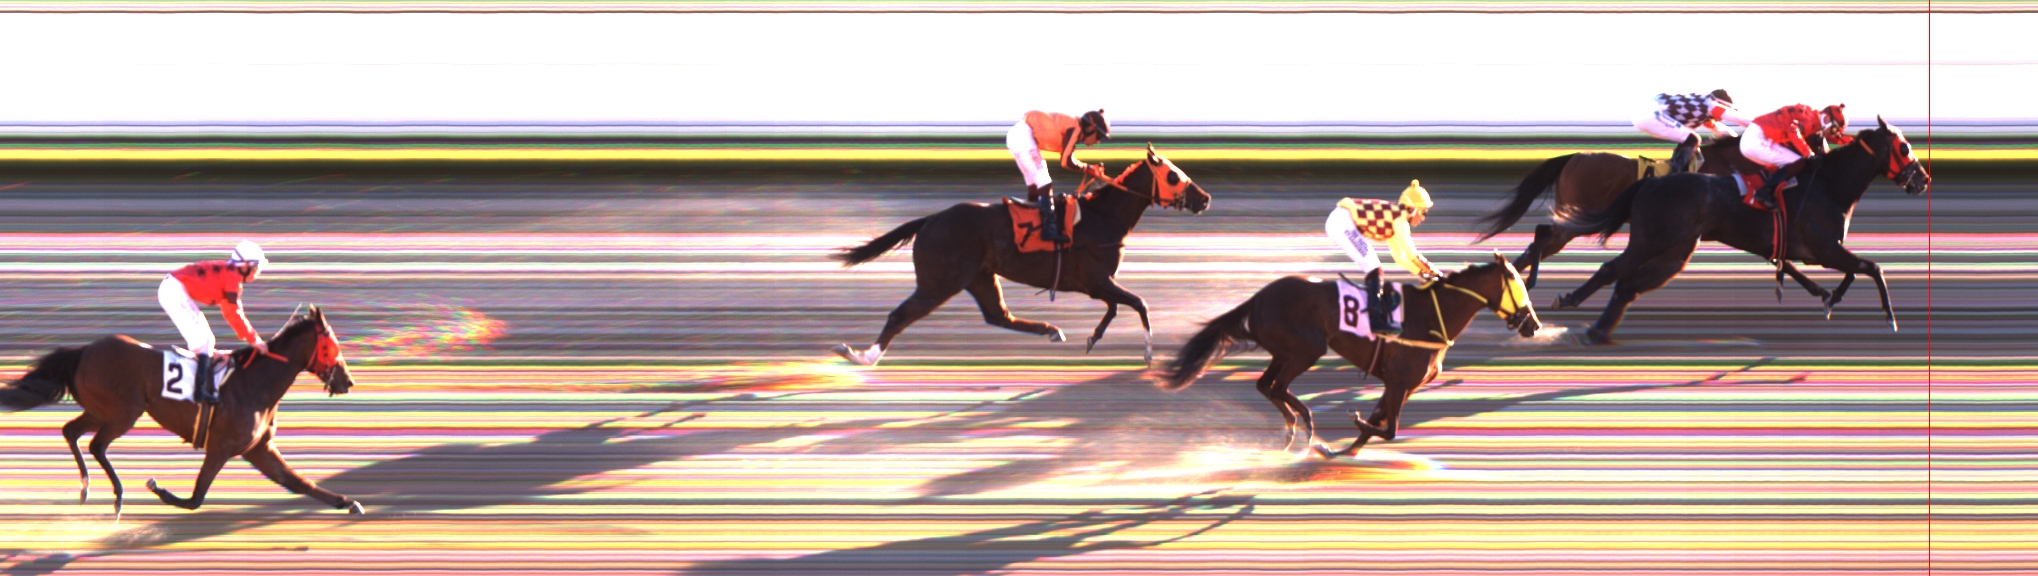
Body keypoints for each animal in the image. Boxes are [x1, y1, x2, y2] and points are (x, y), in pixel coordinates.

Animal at [0, 305, 362, 518]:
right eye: (332, 344)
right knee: (95, 444)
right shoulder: (221, 448)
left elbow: (298, 482)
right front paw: (158, 488)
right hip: (123, 411)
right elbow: (195, 498)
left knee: (71, 432)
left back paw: (87, 489)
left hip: (101, 409)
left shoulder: (258, 448)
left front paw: (348, 502)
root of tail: (84, 350)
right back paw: (116, 495)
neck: (255, 385)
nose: (347, 380)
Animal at [832, 145, 1212, 367]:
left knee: (998, 315)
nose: (1205, 198)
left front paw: (1093, 338)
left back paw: (1052, 330)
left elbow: (1117, 307)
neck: (1103, 217)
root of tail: (930, 219)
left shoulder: (1096, 284)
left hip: (980, 277)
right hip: (939, 282)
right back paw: (862, 355)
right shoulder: (1097, 280)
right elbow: (1138, 303)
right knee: (901, 315)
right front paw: (1147, 352)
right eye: (1173, 175)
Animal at [1157, 254, 1540, 458]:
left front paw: (1342, 449)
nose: (1533, 324)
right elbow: (1389, 430)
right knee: (1277, 387)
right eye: (1518, 285)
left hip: (1285, 352)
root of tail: (1258, 297)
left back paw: (1294, 428)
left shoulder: (1400, 384)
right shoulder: (1399, 381)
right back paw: (1305, 422)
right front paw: (1349, 430)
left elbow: (1379, 423)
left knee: (1265, 386)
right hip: (1306, 349)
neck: (1432, 316)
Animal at [1474, 135, 1834, 301]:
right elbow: (1778, 256)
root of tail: (1574, 156)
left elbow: (1778, 257)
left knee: (1538, 240)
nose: (1821, 163)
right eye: (1820, 143)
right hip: (1577, 218)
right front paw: (1819, 288)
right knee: (1541, 234)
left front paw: (1819, 288)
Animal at [1551, 117, 1930, 344]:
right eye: (1905, 146)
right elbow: (1873, 268)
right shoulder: (1825, 249)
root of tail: (1649, 183)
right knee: (1611, 270)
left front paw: (1830, 297)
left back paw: (1598, 329)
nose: (1923, 179)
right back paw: (1569, 302)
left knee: (1628, 285)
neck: (1828, 185)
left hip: (1676, 250)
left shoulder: (1821, 252)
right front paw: (1890, 318)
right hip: (1651, 240)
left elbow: (1854, 272)